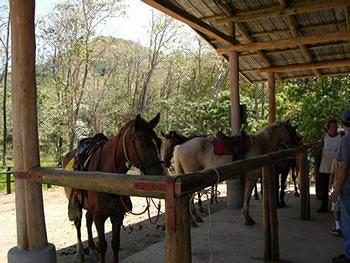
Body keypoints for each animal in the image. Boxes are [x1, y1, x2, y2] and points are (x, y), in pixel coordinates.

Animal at [62, 115, 164, 263]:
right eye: (143, 143)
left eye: (160, 142)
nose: (161, 175)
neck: (107, 176)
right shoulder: (99, 217)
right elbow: (103, 245)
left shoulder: (117, 215)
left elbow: (115, 243)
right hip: (76, 203)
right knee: (78, 223)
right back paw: (80, 253)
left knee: (87, 220)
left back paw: (92, 249)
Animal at [171, 120, 300, 226]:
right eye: (292, 131)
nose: (297, 144)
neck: (261, 143)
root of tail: (181, 146)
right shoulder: (252, 177)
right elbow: (247, 197)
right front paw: (247, 219)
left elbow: (246, 196)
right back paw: (193, 221)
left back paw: (195, 219)